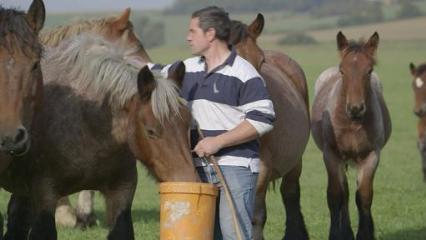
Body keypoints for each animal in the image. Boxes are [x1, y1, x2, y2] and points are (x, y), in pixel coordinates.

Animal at [312, 32, 392, 240]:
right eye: (343, 71)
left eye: (369, 70)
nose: (355, 108)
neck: (352, 123)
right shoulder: (331, 155)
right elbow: (335, 196)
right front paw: (335, 234)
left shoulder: (371, 156)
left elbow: (364, 196)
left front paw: (365, 233)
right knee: (345, 193)